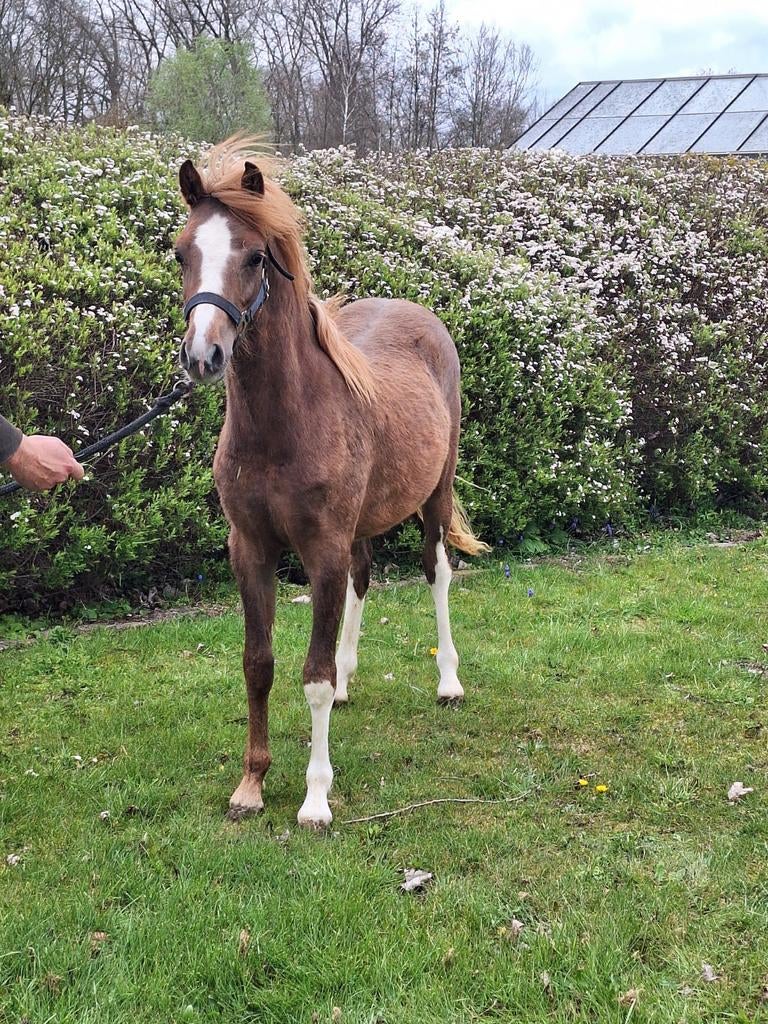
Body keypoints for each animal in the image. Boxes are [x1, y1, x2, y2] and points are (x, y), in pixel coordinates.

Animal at [174, 138, 489, 828]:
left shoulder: (321, 550)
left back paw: (450, 683)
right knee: (363, 579)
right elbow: (258, 664)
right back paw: (351, 683)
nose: (204, 356)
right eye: (182, 252)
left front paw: (316, 799)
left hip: (435, 495)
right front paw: (251, 785)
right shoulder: (252, 549)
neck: (284, 424)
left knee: (438, 572)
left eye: (255, 256)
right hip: (361, 527)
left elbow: (310, 676)